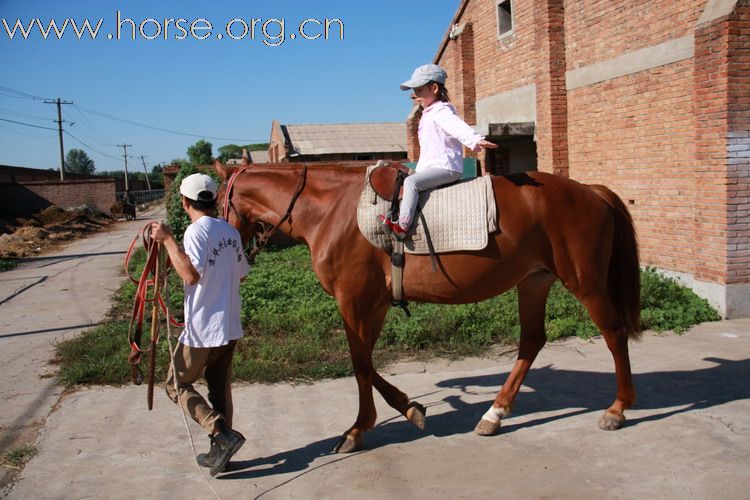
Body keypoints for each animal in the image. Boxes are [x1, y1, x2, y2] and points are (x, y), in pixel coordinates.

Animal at [214, 160, 644, 454]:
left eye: (217, 201)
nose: (228, 243)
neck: (331, 210)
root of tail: (591, 191)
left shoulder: (353, 300)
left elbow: (360, 364)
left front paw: (363, 426)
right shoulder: (373, 305)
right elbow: (366, 362)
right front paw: (403, 409)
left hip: (585, 283)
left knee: (614, 333)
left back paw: (618, 408)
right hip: (534, 282)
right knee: (532, 342)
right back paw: (495, 413)